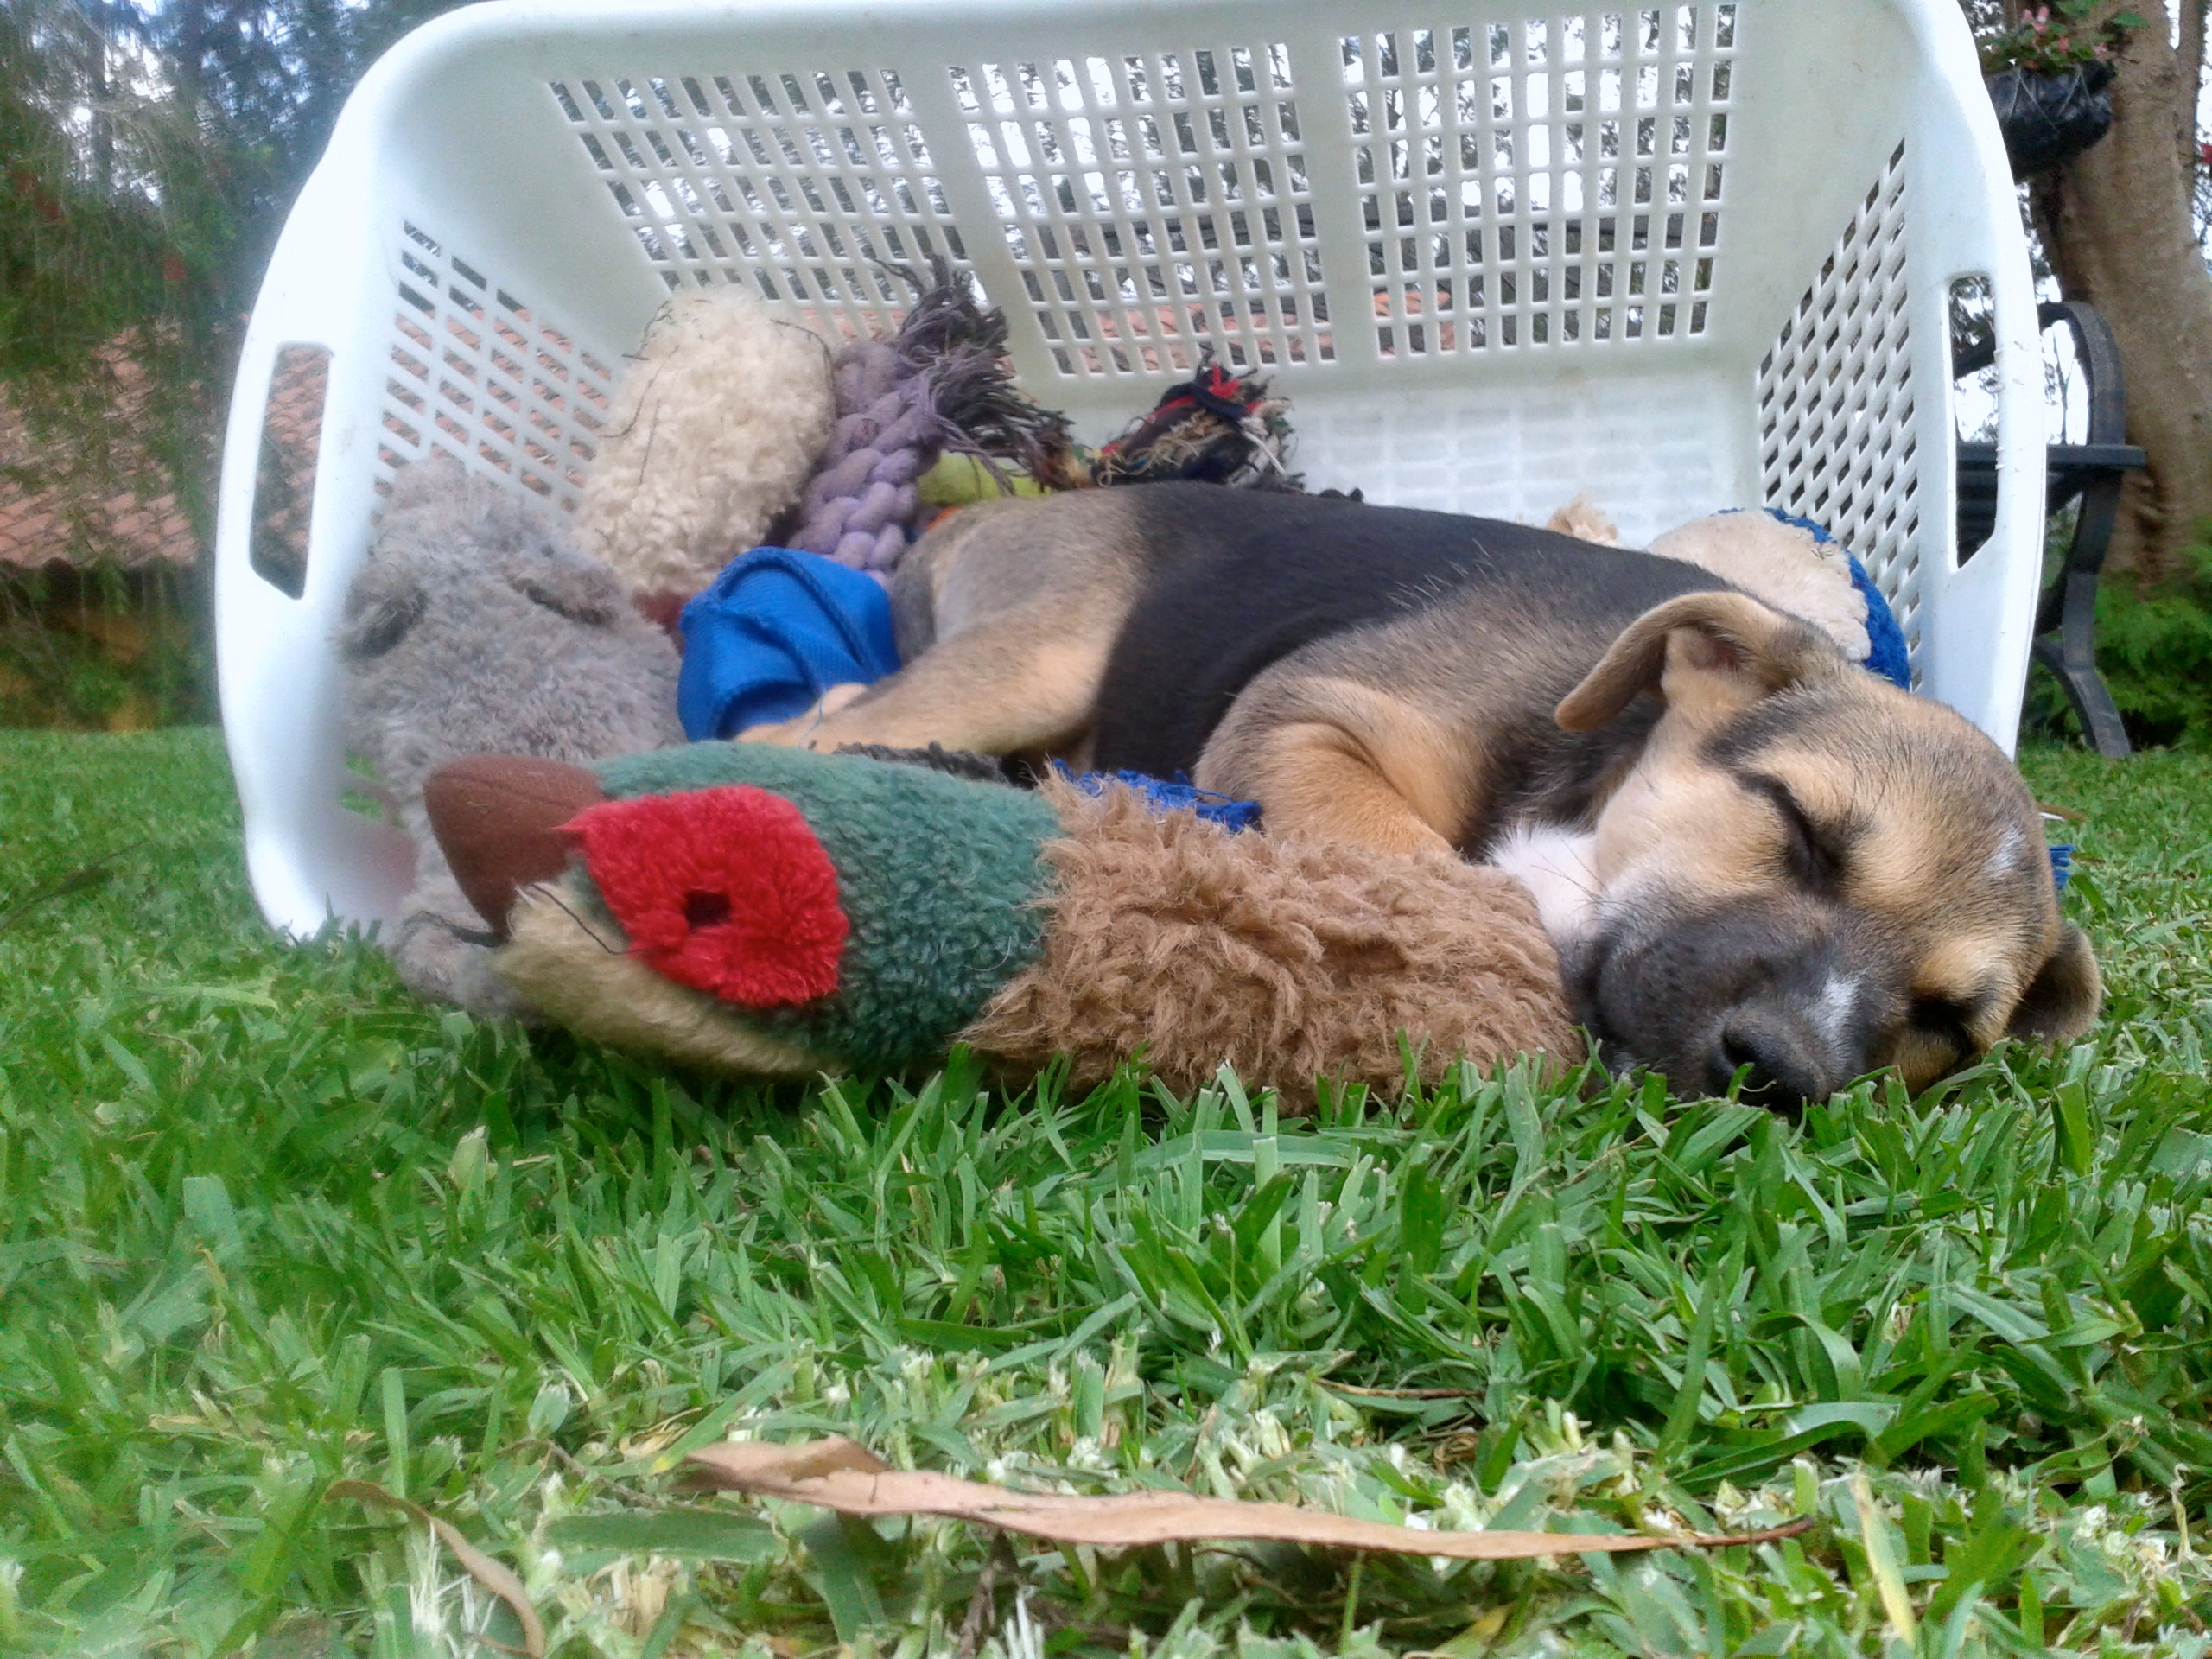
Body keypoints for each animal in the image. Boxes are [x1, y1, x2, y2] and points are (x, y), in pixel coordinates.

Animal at [744, 482, 2101, 1106]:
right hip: (1045, 651)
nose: (1777, 1074)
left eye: (1947, 1027)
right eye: (1797, 828)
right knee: (803, 722)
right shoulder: (1308, 718)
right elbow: (1427, 867)